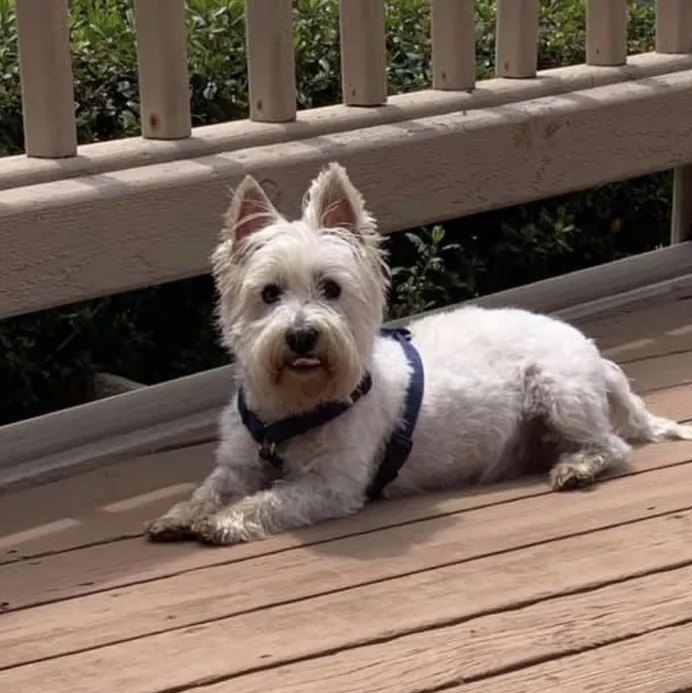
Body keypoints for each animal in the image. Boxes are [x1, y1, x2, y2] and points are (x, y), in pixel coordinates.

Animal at [147, 162, 692, 548]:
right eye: (269, 293)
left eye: (331, 289)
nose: (302, 336)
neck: (294, 408)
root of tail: (596, 356)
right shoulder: (239, 461)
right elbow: (210, 488)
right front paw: (178, 515)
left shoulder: (333, 484)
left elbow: (272, 499)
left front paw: (224, 522)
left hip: (559, 392)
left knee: (610, 445)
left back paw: (575, 469)